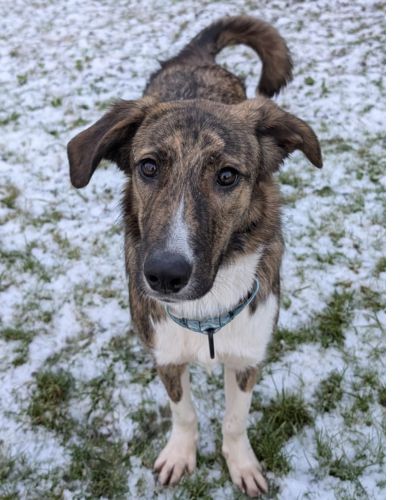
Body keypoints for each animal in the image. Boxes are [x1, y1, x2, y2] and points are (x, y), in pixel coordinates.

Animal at [67, 16, 322, 497]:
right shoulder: (166, 356)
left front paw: (241, 464)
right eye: (148, 167)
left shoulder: (246, 359)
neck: (206, 311)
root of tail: (196, 57)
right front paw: (180, 455)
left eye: (227, 176)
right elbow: (183, 412)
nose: (165, 275)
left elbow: (235, 421)